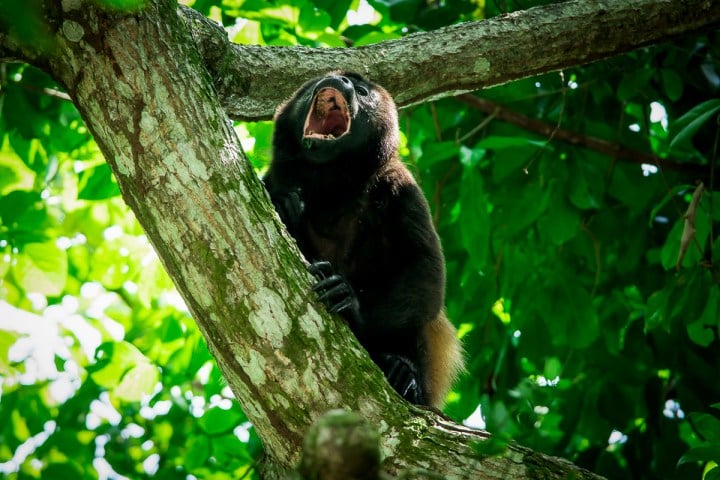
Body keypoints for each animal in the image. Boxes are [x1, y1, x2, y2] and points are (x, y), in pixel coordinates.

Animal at [264, 71, 463, 408]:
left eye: (362, 91)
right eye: (328, 75)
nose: (340, 79)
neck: (330, 184)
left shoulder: (401, 187)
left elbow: (426, 272)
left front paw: (351, 304)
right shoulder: (269, 180)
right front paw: (288, 207)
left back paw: (404, 373)